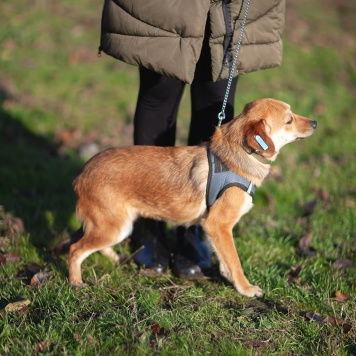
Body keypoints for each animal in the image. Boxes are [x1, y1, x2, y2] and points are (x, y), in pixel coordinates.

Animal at [68, 98, 316, 296]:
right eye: (289, 120)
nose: (314, 122)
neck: (236, 157)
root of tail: (82, 174)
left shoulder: (216, 230)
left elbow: (226, 260)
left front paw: (230, 280)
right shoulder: (218, 224)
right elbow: (235, 262)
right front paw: (245, 289)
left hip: (115, 227)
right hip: (115, 227)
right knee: (75, 250)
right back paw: (76, 283)